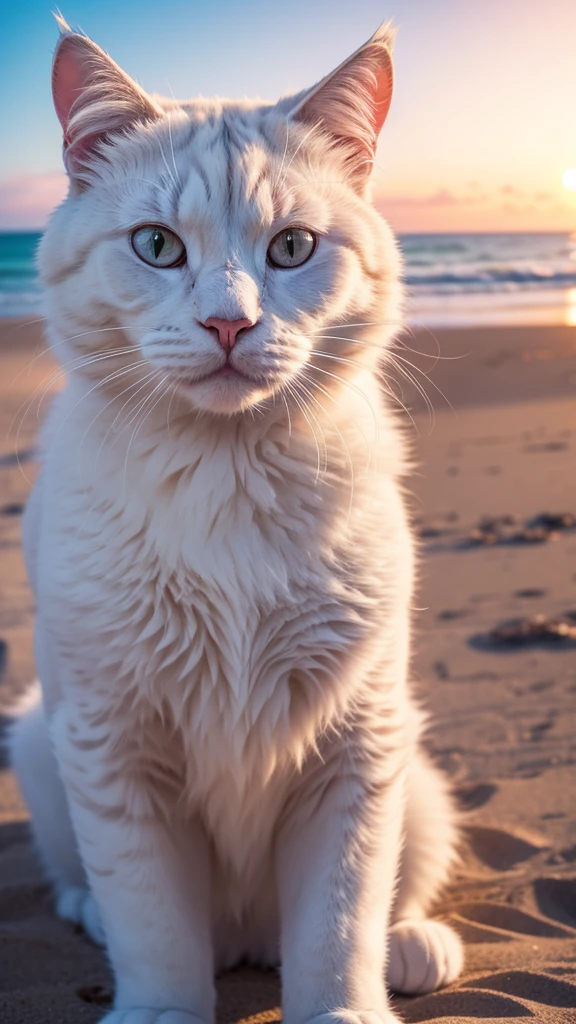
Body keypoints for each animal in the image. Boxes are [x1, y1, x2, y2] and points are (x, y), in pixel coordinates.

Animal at [10, 18, 461, 1024]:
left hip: (411, 766)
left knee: (394, 888)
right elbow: (153, 924)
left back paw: (414, 944)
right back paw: (87, 914)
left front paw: (345, 1007)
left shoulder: (356, 744)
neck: (227, 476)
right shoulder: (114, 745)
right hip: (38, 741)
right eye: (155, 245)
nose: (229, 324)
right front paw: (159, 1008)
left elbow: (340, 919)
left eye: (292, 248)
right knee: (89, 885)